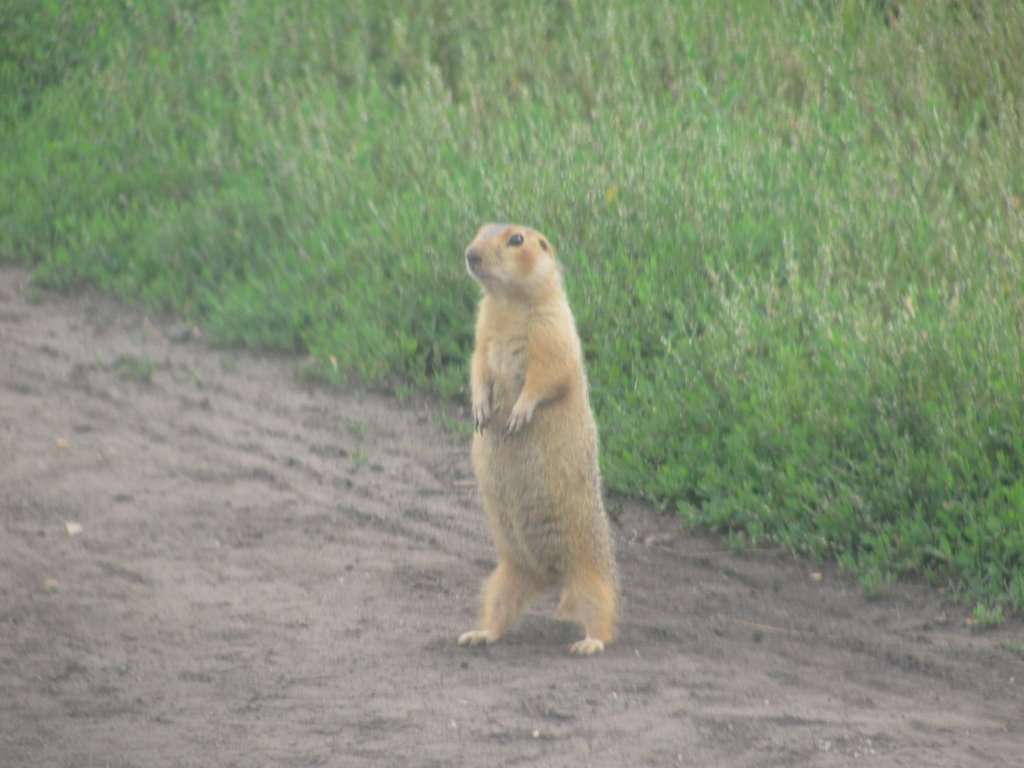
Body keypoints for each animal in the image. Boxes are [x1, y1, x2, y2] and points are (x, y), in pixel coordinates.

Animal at [460, 221, 618, 655]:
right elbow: (478, 367)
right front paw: (480, 409)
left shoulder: (552, 330)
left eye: (517, 239)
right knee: (500, 606)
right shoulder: (482, 334)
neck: (508, 304)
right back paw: (478, 634)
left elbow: (547, 373)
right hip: (506, 574)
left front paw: (518, 414)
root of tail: (552, 579)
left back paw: (589, 643)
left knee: (603, 611)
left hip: (590, 574)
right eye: (481, 229)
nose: (470, 254)